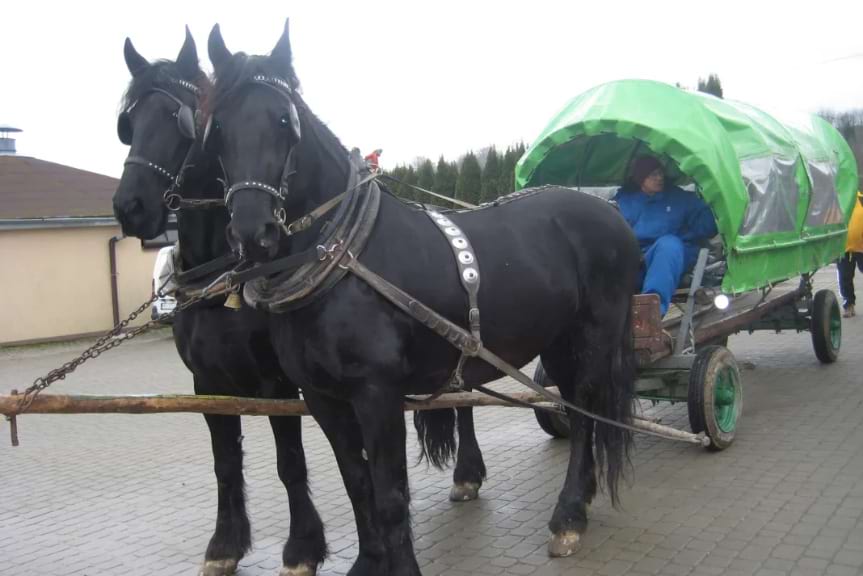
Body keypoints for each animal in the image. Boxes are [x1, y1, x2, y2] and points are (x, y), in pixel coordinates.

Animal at [113, 31, 330, 576]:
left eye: (182, 119)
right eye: (129, 124)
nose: (129, 206)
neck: (224, 277)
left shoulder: (278, 385)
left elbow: (290, 462)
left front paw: (303, 547)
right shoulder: (206, 384)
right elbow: (225, 463)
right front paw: (225, 544)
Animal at [206, 20, 644, 572]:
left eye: (285, 121)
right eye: (217, 129)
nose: (252, 232)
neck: (342, 259)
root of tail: (608, 210)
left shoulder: (377, 393)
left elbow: (391, 495)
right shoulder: (323, 398)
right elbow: (357, 484)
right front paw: (367, 562)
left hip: (595, 335)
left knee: (586, 413)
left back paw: (568, 517)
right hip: (559, 340)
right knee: (574, 405)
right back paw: (579, 502)